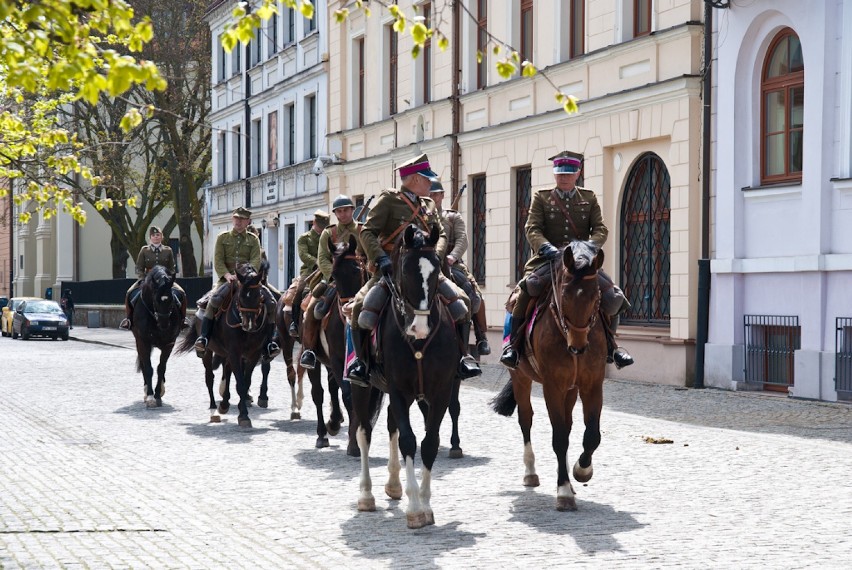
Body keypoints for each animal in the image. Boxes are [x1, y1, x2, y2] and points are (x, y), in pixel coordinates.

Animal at [131, 264, 184, 406]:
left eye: (171, 299)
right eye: (156, 299)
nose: (164, 323)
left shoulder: (170, 343)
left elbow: (161, 367)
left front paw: (158, 394)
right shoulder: (143, 341)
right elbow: (148, 368)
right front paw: (150, 396)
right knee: (144, 365)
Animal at [176, 262, 272, 426]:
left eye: (259, 296)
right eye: (240, 296)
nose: (249, 324)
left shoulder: (253, 354)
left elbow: (245, 381)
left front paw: (242, 407)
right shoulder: (234, 352)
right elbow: (240, 383)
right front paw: (244, 416)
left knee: (226, 371)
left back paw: (224, 403)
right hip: (208, 352)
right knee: (210, 377)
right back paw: (214, 407)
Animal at [352, 222, 462, 528]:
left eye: (436, 270)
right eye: (404, 269)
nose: (419, 327)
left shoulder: (439, 392)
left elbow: (429, 443)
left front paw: (425, 504)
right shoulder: (399, 390)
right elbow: (408, 440)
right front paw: (414, 509)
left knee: (391, 427)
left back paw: (393, 485)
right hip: (364, 388)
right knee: (363, 432)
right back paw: (366, 495)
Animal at [490, 240, 608, 510]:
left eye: (596, 295)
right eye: (564, 295)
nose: (578, 347)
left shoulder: (592, 385)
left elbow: (592, 435)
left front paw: (581, 471)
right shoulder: (551, 387)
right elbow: (559, 438)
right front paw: (563, 490)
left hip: (571, 390)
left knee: (568, 424)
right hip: (521, 378)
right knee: (526, 420)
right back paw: (531, 473)